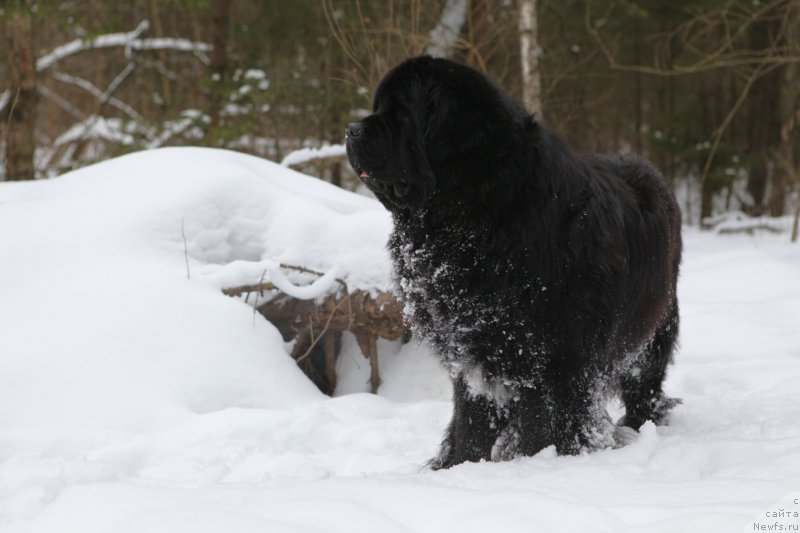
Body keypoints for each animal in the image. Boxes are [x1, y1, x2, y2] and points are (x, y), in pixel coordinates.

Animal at [346, 56, 680, 468]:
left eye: (402, 113)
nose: (351, 129)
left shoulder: (553, 356)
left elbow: (545, 423)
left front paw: (537, 461)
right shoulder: (470, 350)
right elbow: (471, 419)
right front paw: (460, 465)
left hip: (653, 330)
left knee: (644, 385)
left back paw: (640, 425)